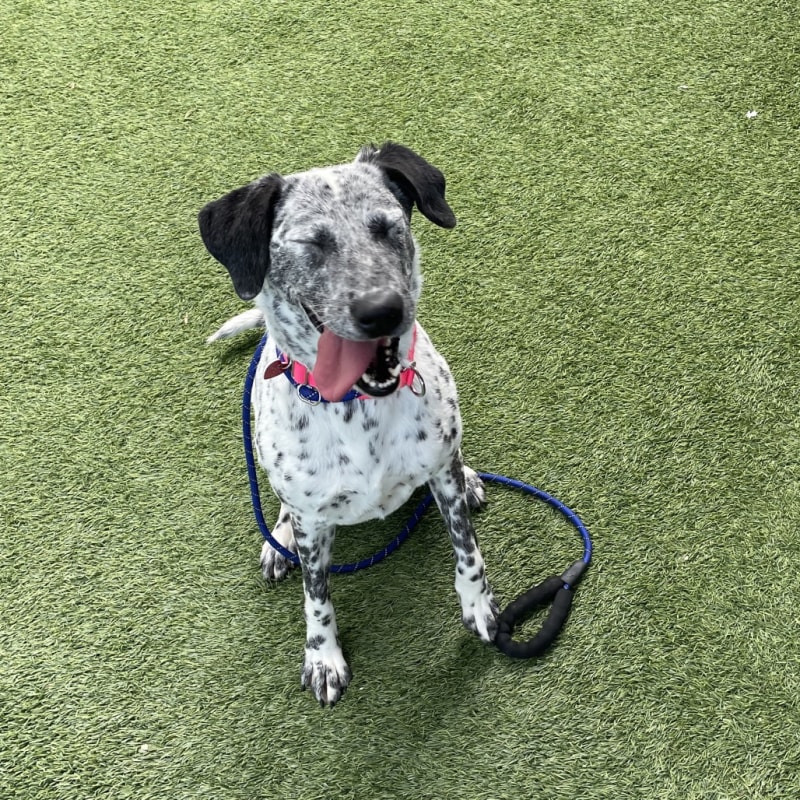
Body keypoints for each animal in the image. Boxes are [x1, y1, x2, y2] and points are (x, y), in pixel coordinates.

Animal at [199, 142, 498, 706]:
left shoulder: (441, 476)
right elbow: (316, 595)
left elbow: (467, 550)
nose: (383, 310)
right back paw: (280, 539)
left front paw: (479, 606)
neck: (357, 408)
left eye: (386, 227)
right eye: (312, 243)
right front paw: (323, 657)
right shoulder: (313, 524)